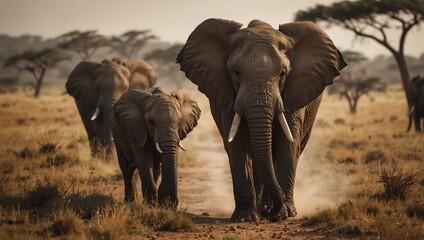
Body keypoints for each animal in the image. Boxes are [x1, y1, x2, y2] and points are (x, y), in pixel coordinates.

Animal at [177, 17, 346, 222]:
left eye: (283, 74)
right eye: (235, 72)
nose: (269, 212)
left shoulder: (293, 95)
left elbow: (287, 143)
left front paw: (282, 214)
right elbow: (237, 145)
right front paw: (245, 217)